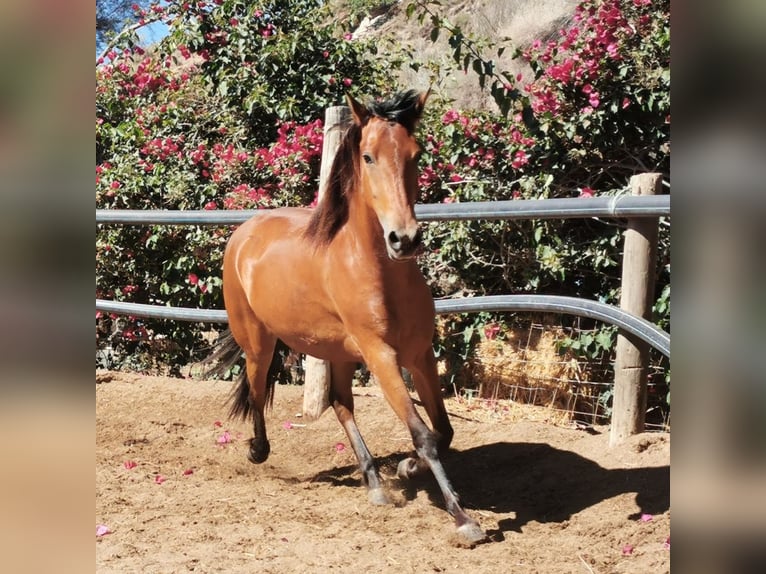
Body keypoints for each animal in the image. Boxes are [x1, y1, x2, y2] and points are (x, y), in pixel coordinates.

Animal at [210, 89, 486, 544]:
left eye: (416, 154)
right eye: (369, 157)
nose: (404, 239)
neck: (378, 273)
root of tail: (245, 231)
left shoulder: (420, 355)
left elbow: (442, 431)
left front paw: (406, 469)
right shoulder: (382, 356)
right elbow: (423, 434)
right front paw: (463, 519)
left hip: (336, 352)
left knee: (341, 405)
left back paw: (375, 483)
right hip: (259, 342)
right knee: (256, 390)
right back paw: (257, 450)